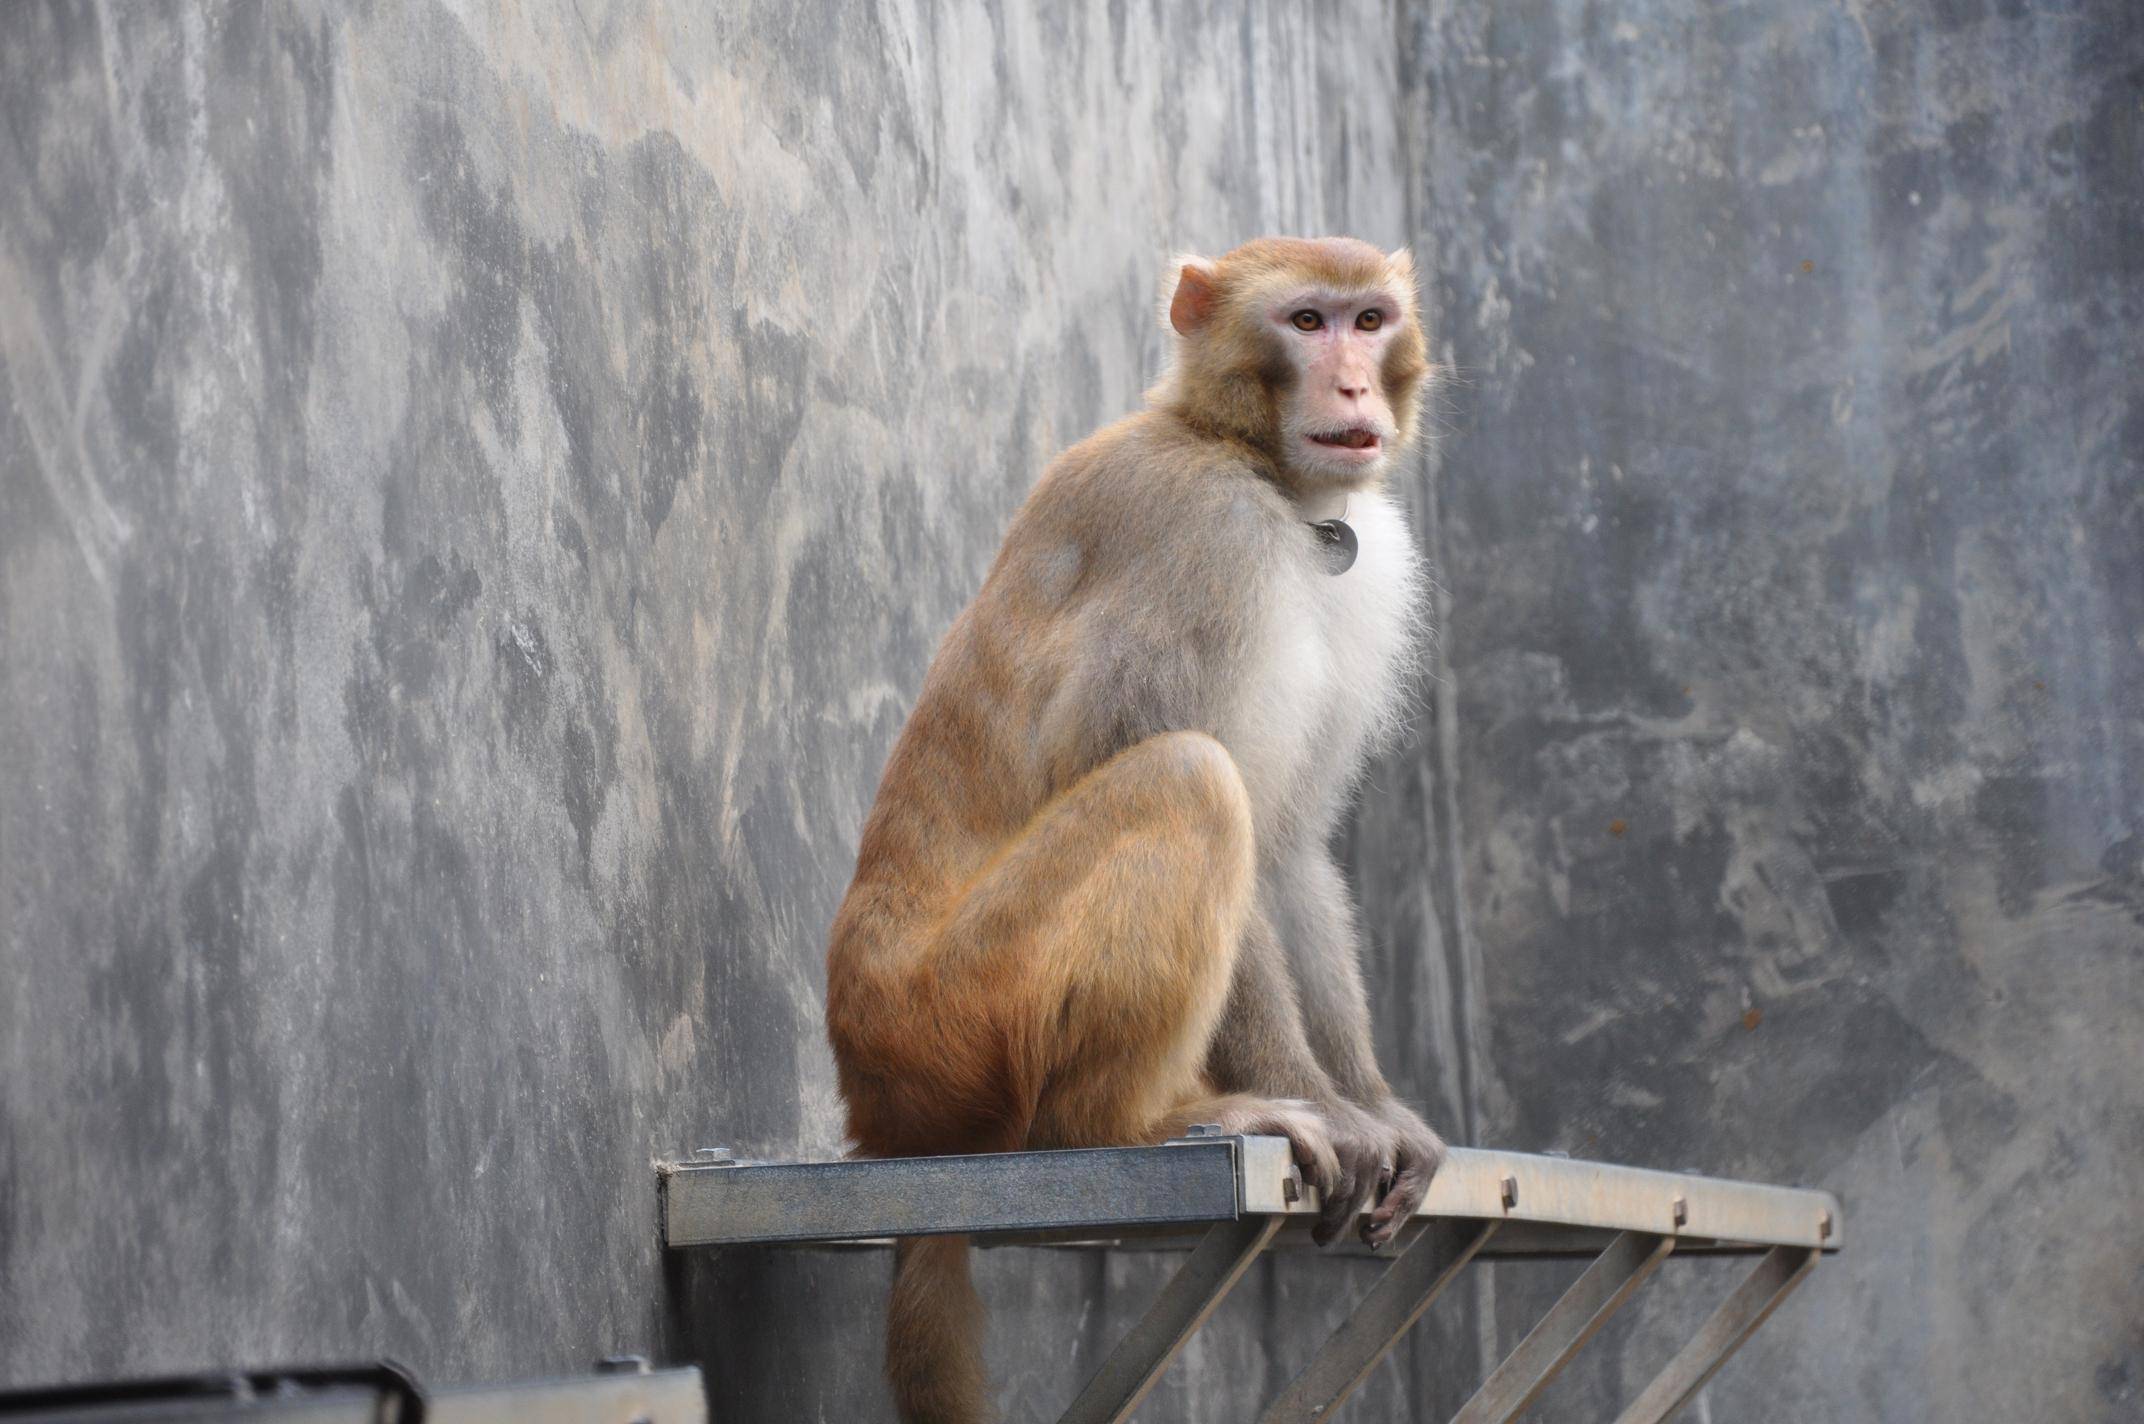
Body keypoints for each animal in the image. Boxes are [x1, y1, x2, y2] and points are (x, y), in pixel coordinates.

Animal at [827, 239, 1449, 1415]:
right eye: (1306, 321)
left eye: (1369, 320)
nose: (1352, 387)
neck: (1248, 461)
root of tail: (885, 1122)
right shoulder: (1197, 536)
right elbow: (1163, 756)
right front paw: (1316, 1098)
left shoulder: (1367, 558)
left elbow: (1287, 848)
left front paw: (1375, 1103)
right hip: (960, 1023)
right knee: (1187, 777)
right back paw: (1127, 1126)